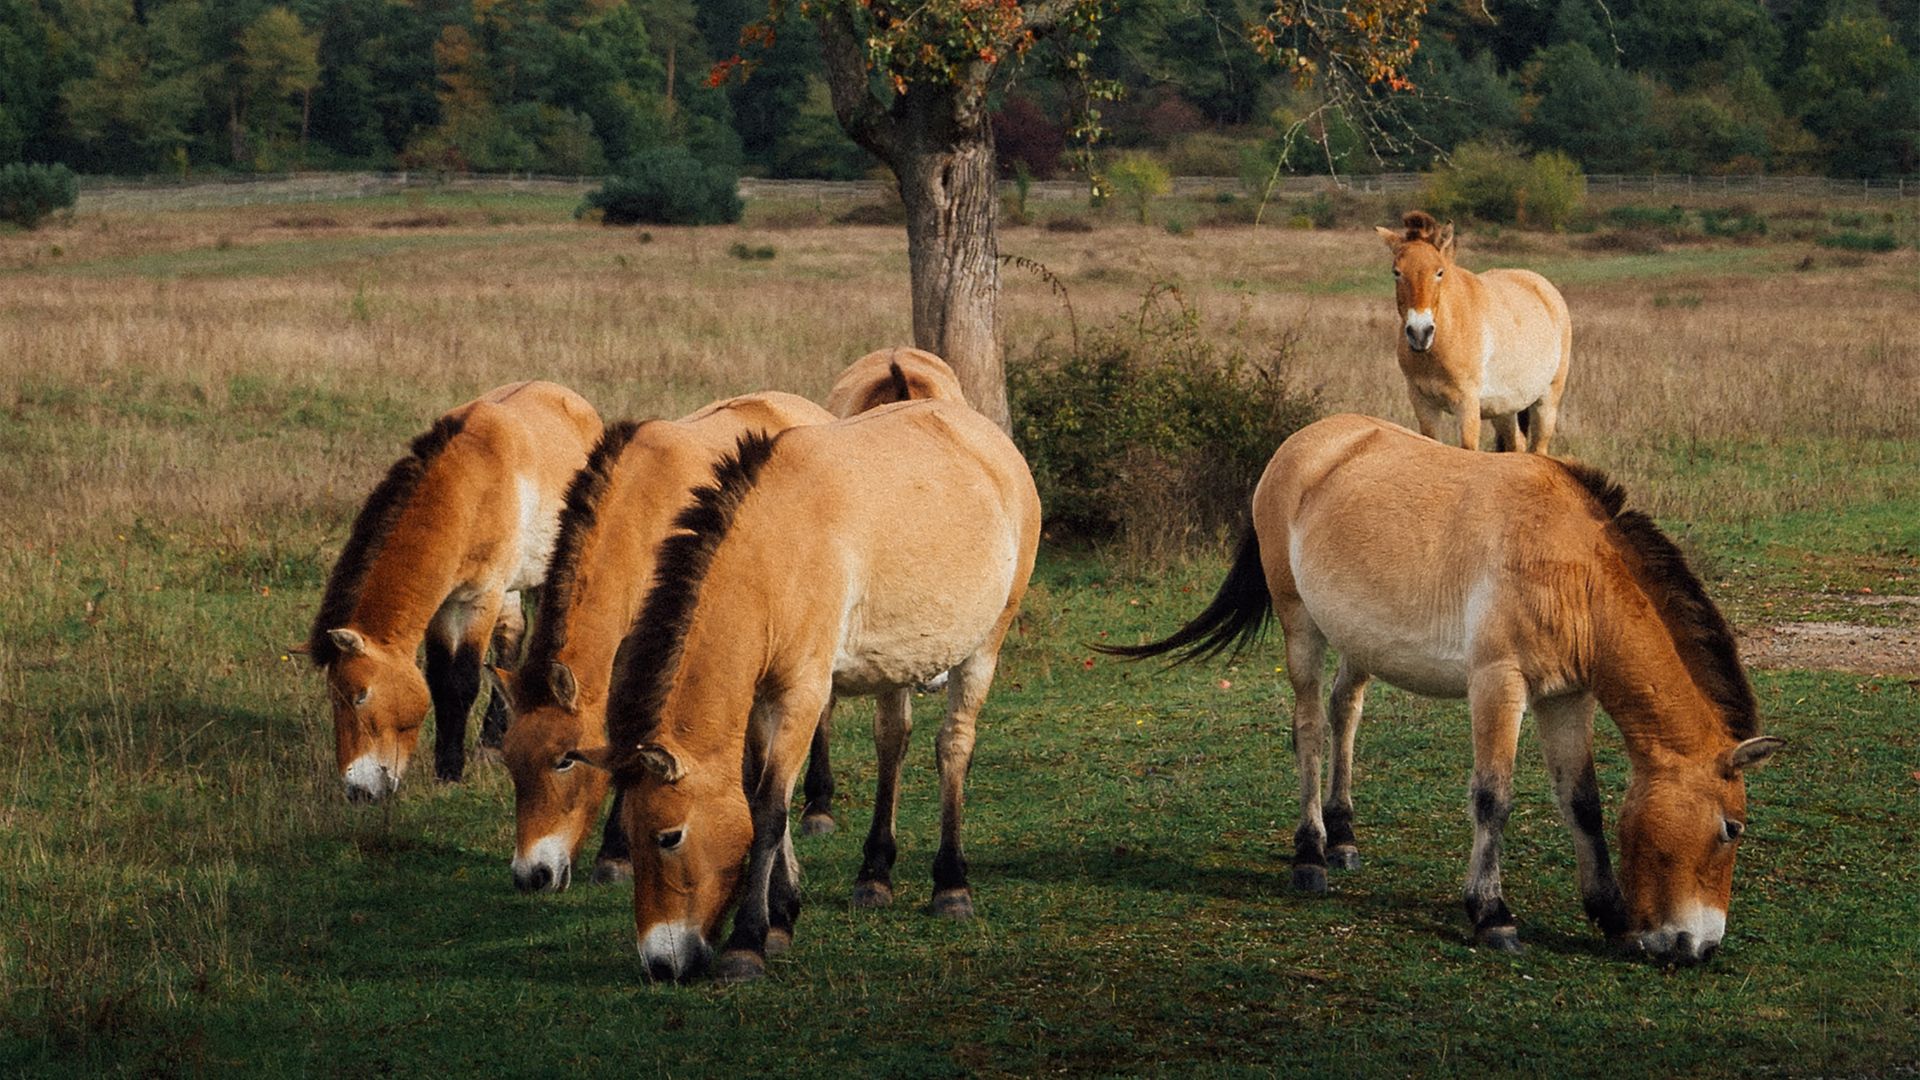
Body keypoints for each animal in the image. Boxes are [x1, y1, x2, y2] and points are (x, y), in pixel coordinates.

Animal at [310, 381, 602, 802]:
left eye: (360, 695)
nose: (357, 791)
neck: (470, 489)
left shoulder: (479, 600)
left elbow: (462, 680)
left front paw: (450, 769)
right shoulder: (443, 604)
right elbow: (440, 680)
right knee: (511, 639)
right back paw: (491, 742)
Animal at [497, 391, 834, 893]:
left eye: (565, 760)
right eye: (510, 761)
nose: (531, 875)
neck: (638, 516)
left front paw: (614, 855)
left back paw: (820, 808)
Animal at [570, 399, 1040, 983]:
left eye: (669, 836)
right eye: (627, 839)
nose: (661, 964)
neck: (773, 554)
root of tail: (988, 437)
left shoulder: (802, 696)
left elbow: (770, 807)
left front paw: (748, 942)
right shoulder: (759, 699)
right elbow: (757, 793)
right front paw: (782, 916)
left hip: (985, 646)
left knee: (953, 745)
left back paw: (951, 886)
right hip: (898, 661)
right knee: (892, 741)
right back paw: (874, 875)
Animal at [1099, 414, 1782, 963]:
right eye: (1733, 828)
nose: (1699, 947)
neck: (1573, 570)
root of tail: (1301, 445)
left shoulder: (1566, 698)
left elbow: (1582, 802)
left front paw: (1611, 917)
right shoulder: (1498, 684)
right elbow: (1493, 797)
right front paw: (1492, 916)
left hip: (1361, 640)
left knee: (1345, 711)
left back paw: (1344, 838)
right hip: (1302, 628)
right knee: (1309, 730)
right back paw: (1312, 854)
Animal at [1376, 211, 1572, 453]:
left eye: (1439, 272)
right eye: (1397, 272)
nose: (1420, 333)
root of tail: (1545, 288)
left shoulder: (1467, 404)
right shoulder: (1423, 404)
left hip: (1547, 402)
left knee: (1538, 449)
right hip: (1504, 409)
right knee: (1516, 444)